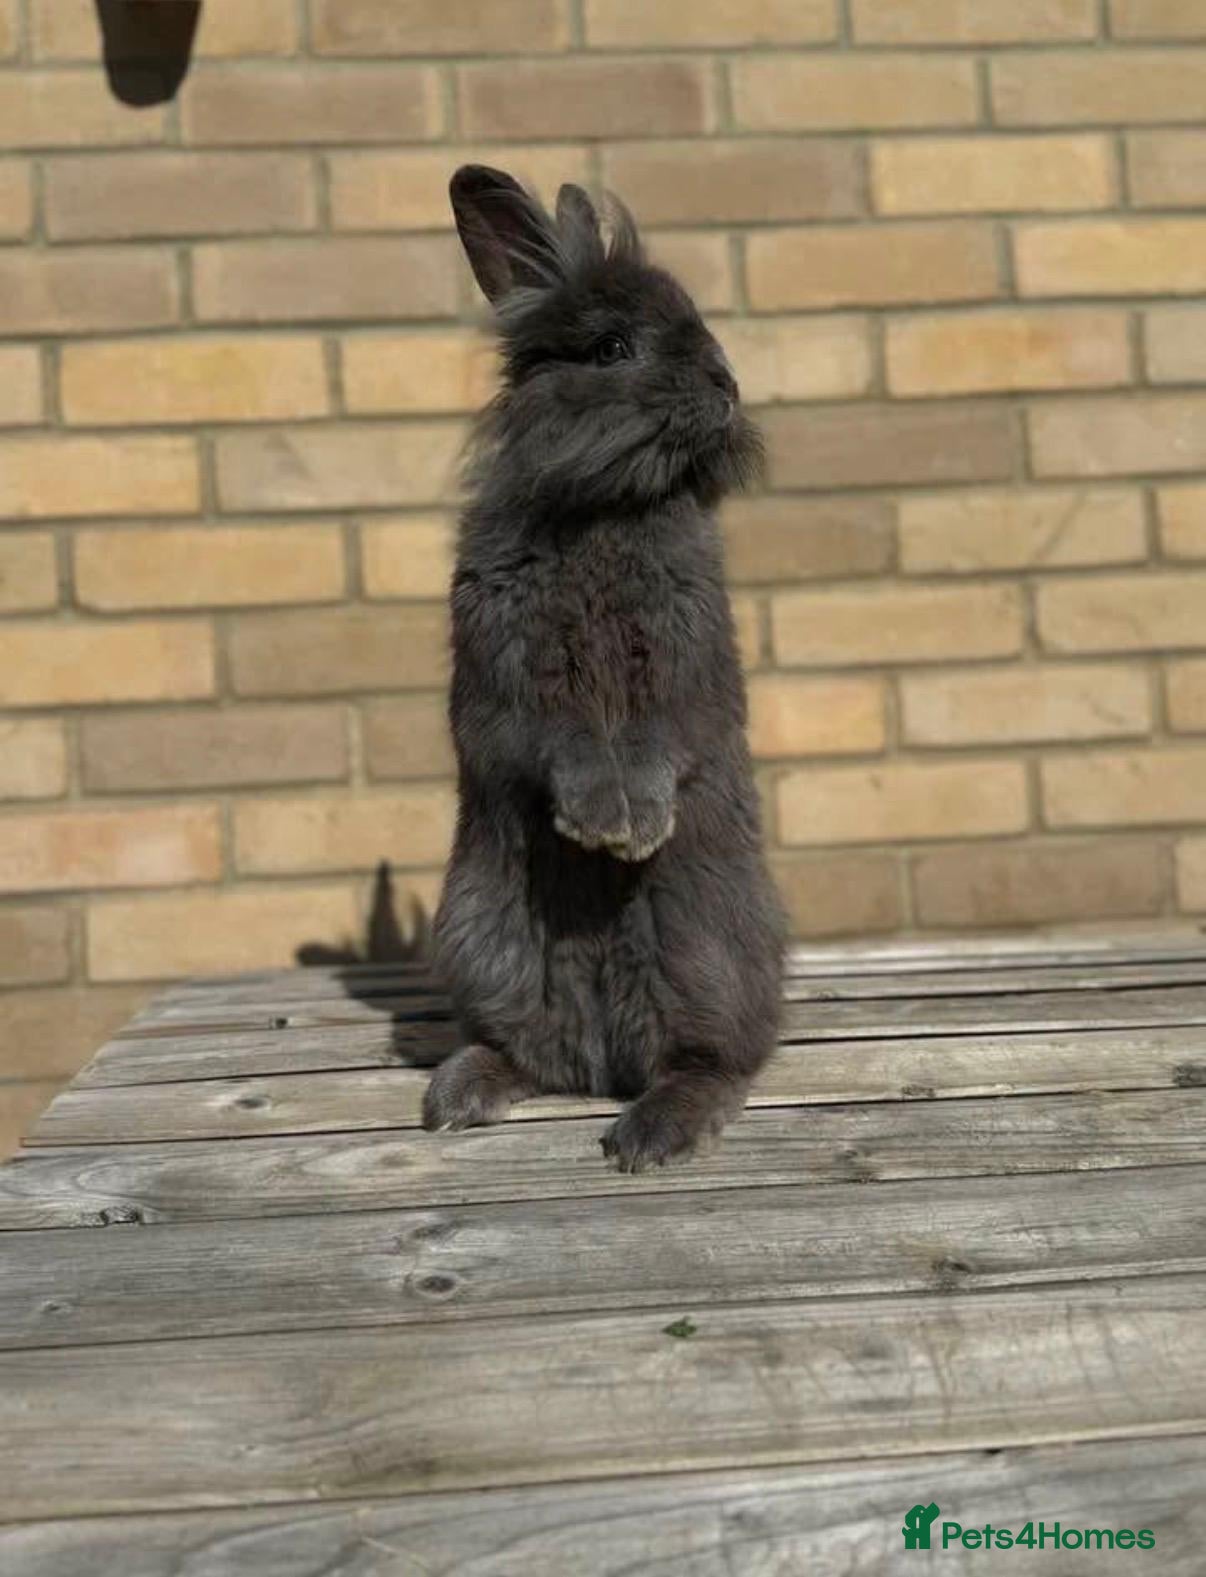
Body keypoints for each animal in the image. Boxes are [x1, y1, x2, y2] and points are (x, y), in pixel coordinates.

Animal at [424, 164, 786, 1171]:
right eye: (614, 347)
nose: (727, 384)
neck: (605, 508)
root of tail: (601, 1061)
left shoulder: (689, 667)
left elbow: (664, 735)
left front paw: (635, 824)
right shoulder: (508, 681)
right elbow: (558, 741)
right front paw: (602, 821)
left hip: (706, 950)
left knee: (717, 1060)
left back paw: (651, 1134)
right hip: (484, 938)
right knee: (529, 1055)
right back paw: (457, 1095)